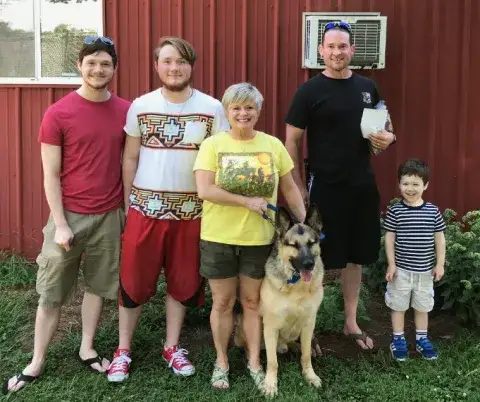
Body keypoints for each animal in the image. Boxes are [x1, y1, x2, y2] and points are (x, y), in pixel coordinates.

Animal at [234, 204, 324, 397]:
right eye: (293, 245)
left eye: (311, 243)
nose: (309, 264)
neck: (296, 286)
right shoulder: (270, 326)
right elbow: (272, 362)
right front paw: (270, 384)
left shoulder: (309, 323)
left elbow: (306, 356)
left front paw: (310, 375)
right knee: (252, 347)